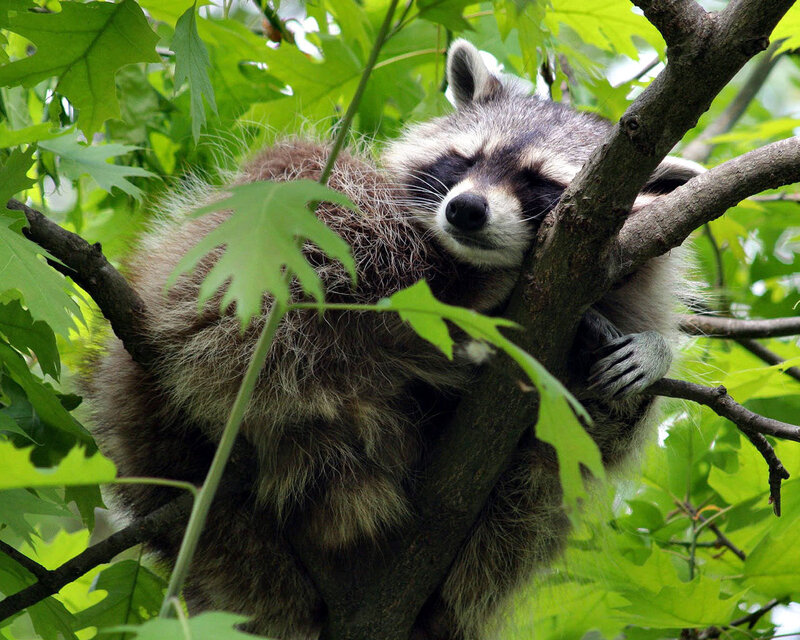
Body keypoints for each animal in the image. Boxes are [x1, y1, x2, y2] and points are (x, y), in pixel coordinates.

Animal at [88, 39, 701, 640]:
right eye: (466, 159)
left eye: (539, 184)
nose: (465, 210)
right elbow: (326, 189)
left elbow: (585, 443)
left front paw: (651, 352)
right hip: (196, 307)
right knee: (306, 185)